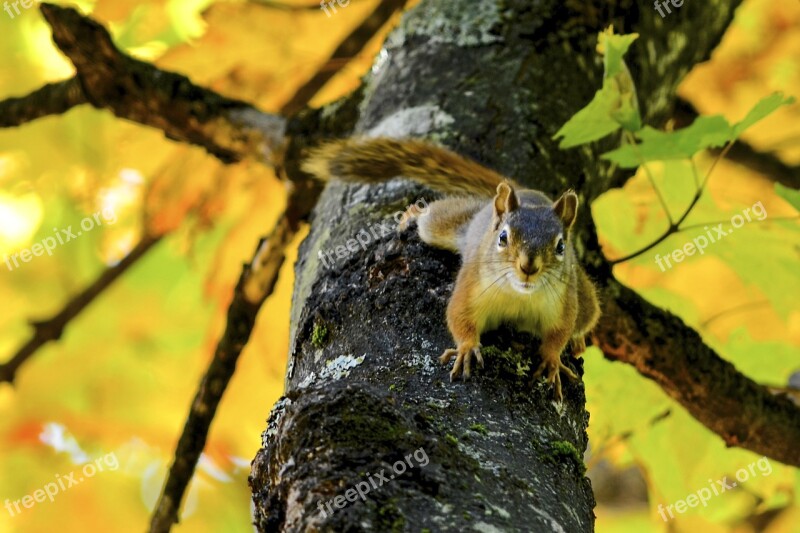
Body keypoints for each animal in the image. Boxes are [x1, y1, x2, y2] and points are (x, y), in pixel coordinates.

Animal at [302, 137, 600, 400]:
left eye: (560, 246)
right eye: (503, 237)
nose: (529, 267)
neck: (519, 295)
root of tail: (529, 194)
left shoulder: (563, 303)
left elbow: (559, 333)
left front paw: (552, 360)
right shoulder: (472, 284)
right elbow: (459, 315)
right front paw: (467, 348)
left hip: (584, 297)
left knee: (585, 317)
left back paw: (578, 340)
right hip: (447, 224)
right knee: (431, 217)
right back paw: (412, 214)